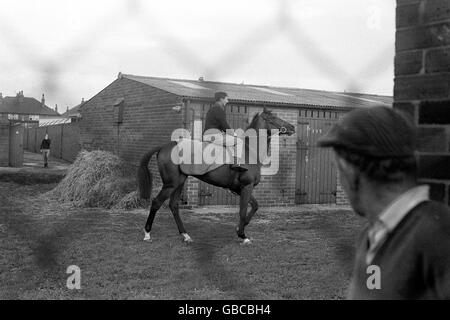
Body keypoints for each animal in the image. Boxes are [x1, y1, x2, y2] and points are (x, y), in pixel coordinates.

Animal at [136, 108, 296, 245]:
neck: (250, 151)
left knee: (173, 205)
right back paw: (147, 234)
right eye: (273, 118)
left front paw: (240, 229)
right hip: (171, 184)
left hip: (179, 182)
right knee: (156, 203)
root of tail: (165, 146)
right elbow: (243, 210)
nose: (292, 127)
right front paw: (242, 235)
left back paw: (185, 235)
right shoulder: (246, 186)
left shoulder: (241, 189)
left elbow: (255, 206)